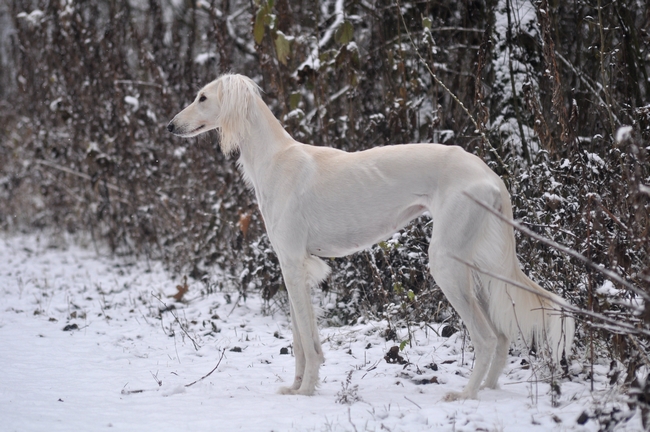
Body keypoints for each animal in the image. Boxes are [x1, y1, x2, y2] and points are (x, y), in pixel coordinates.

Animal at [168, 72, 572, 400]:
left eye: (202, 97)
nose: (170, 127)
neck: (274, 157)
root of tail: (490, 174)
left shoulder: (294, 264)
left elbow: (307, 344)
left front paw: (306, 391)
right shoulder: (291, 266)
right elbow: (300, 339)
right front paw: (296, 387)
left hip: (446, 263)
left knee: (486, 337)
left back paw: (465, 395)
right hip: (478, 263)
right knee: (501, 336)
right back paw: (486, 391)